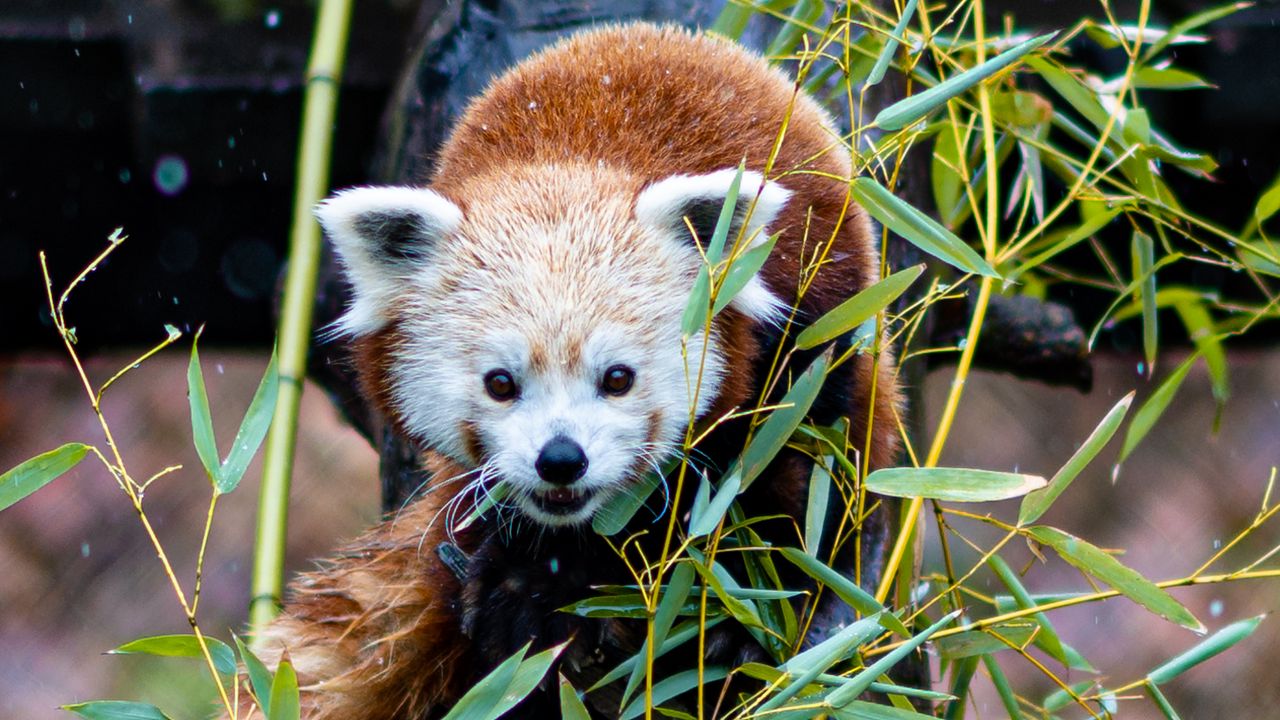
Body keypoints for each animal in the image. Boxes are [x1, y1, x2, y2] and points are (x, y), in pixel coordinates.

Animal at [257, 22, 901, 717]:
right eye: (500, 383)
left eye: (617, 378)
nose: (561, 459)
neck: (574, 156)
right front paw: (530, 599)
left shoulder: (806, 334)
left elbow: (793, 484)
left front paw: (739, 616)